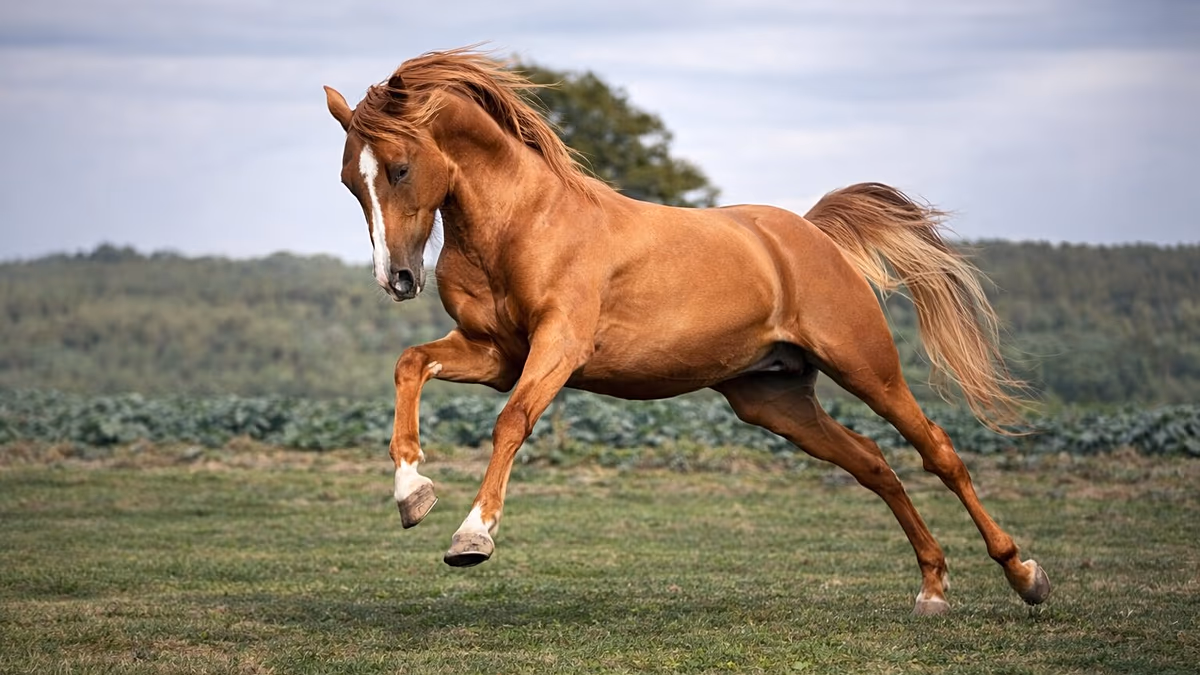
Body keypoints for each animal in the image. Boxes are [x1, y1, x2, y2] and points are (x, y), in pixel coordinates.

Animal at [322, 47, 1050, 615]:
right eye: (350, 181)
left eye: (400, 169)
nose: (398, 278)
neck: (522, 223)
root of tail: (813, 234)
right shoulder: (496, 353)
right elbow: (409, 364)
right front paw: (412, 495)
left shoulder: (557, 347)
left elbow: (512, 421)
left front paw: (471, 536)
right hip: (774, 400)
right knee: (874, 465)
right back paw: (933, 588)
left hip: (868, 368)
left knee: (937, 451)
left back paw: (1025, 576)